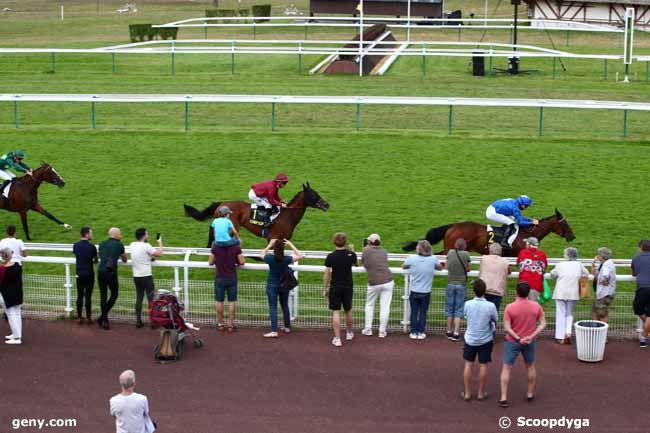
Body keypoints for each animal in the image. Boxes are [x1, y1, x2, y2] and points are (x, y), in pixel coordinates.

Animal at [184, 181, 330, 245]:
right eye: (314, 195)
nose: (327, 205)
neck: (287, 216)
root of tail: (221, 203)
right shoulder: (273, 238)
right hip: (232, 227)